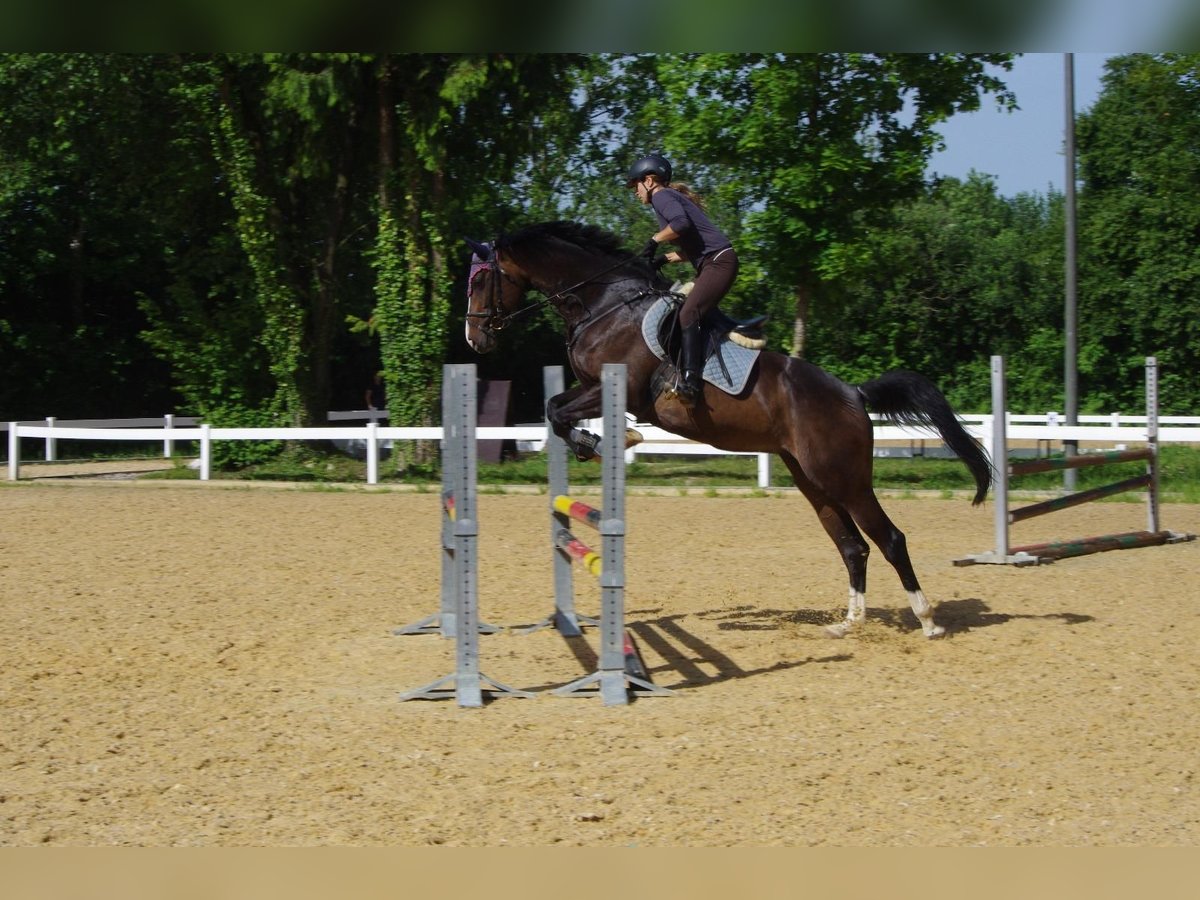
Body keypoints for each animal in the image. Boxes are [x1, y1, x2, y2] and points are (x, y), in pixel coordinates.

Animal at [463, 220, 988, 638]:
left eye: (482, 279)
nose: (475, 338)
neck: (604, 304)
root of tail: (853, 394)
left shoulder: (619, 390)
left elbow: (558, 412)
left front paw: (612, 440)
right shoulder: (590, 387)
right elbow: (554, 410)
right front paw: (594, 443)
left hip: (846, 479)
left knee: (889, 539)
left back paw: (928, 621)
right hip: (811, 479)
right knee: (853, 546)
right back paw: (848, 623)